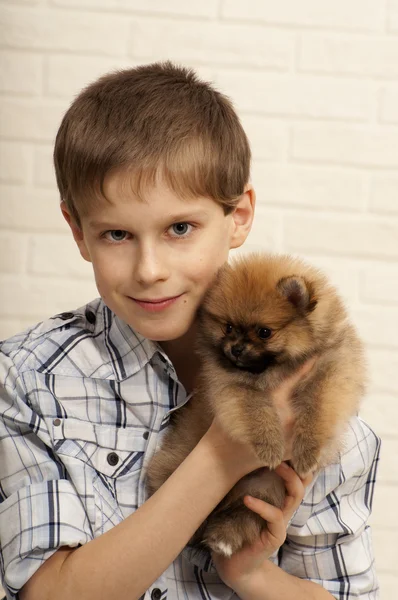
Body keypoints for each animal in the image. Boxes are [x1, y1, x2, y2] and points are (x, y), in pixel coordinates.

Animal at [145, 252, 366, 556]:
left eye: (264, 332)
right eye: (228, 327)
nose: (236, 348)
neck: (275, 369)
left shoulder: (331, 372)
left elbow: (318, 409)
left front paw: (308, 451)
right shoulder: (231, 386)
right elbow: (256, 410)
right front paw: (270, 445)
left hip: (263, 489)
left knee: (245, 514)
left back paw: (223, 538)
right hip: (180, 465)